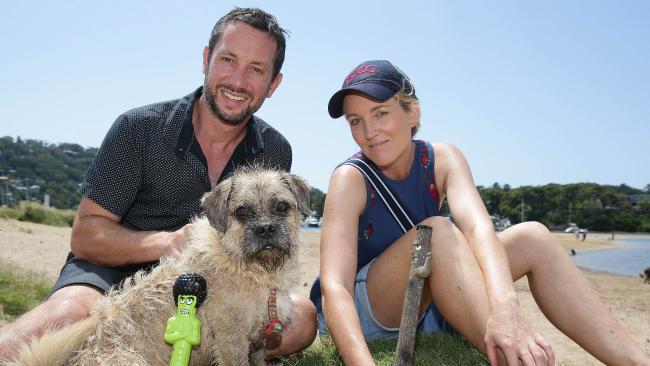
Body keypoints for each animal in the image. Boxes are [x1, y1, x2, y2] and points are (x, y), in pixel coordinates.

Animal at [12, 168, 312, 366]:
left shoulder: (259, 341)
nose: (266, 228)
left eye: (282, 206)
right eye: (241, 212)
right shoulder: (232, 341)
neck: (248, 266)